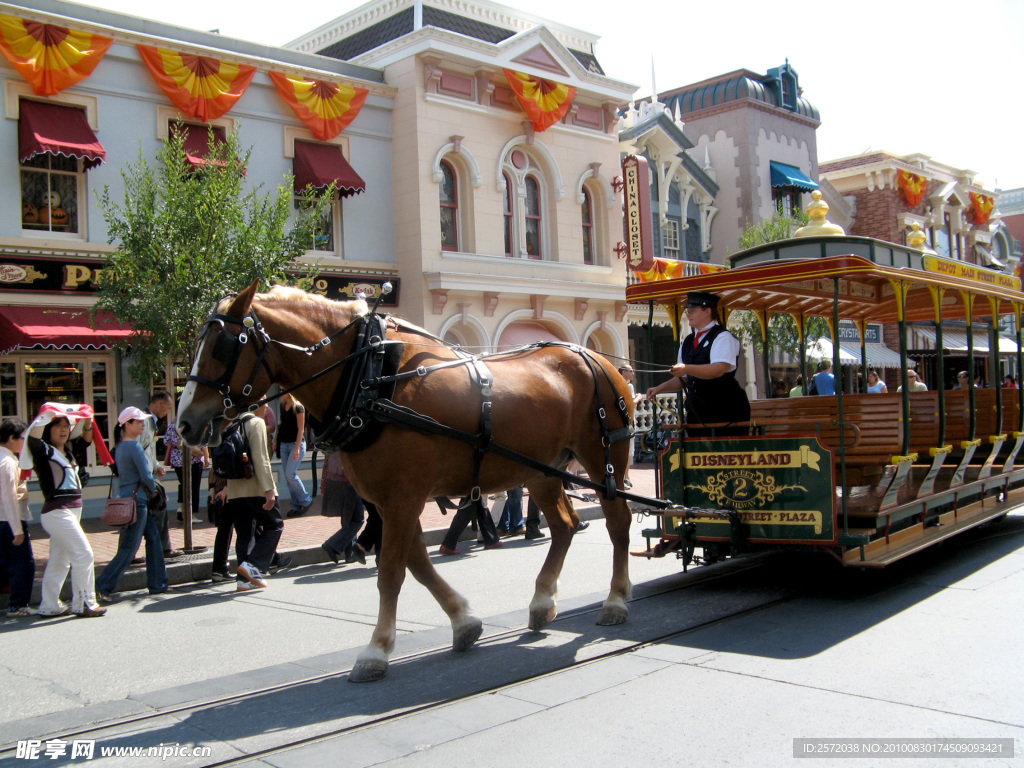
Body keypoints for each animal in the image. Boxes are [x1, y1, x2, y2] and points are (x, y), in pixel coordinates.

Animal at [180, 286, 634, 684]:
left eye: (223, 347)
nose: (185, 422)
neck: (370, 378)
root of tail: (600, 360)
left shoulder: (402, 497)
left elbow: (392, 573)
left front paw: (376, 651)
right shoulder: (390, 501)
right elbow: (417, 563)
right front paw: (464, 622)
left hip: (602, 458)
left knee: (618, 522)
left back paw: (615, 601)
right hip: (542, 471)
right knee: (564, 526)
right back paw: (542, 603)